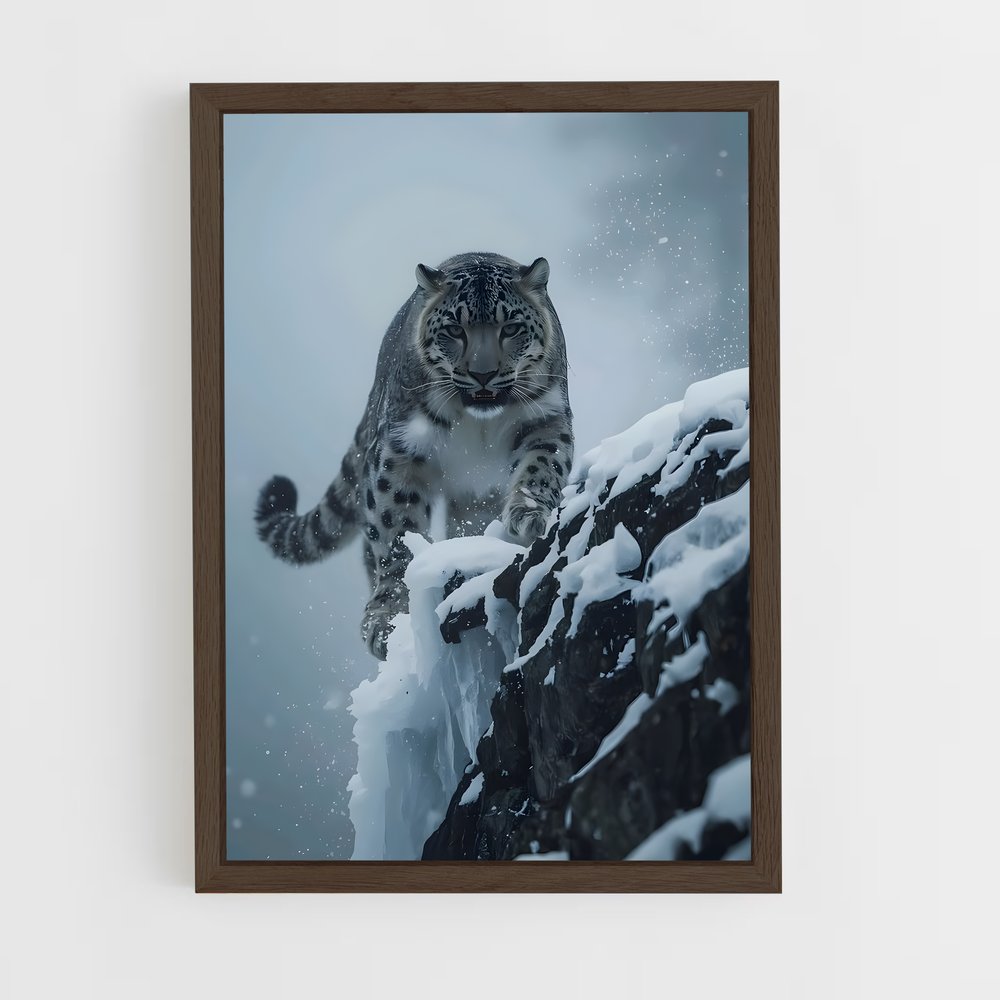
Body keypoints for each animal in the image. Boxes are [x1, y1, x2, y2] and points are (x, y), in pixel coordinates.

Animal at [255, 251, 573, 660]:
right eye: (454, 329)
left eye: (512, 327)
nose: (483, 374)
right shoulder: (400, 450)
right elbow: (396, 535)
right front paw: (388, 620)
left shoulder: (545, 419)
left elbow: (542, 465)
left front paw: (527, 515)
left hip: (474, 502)